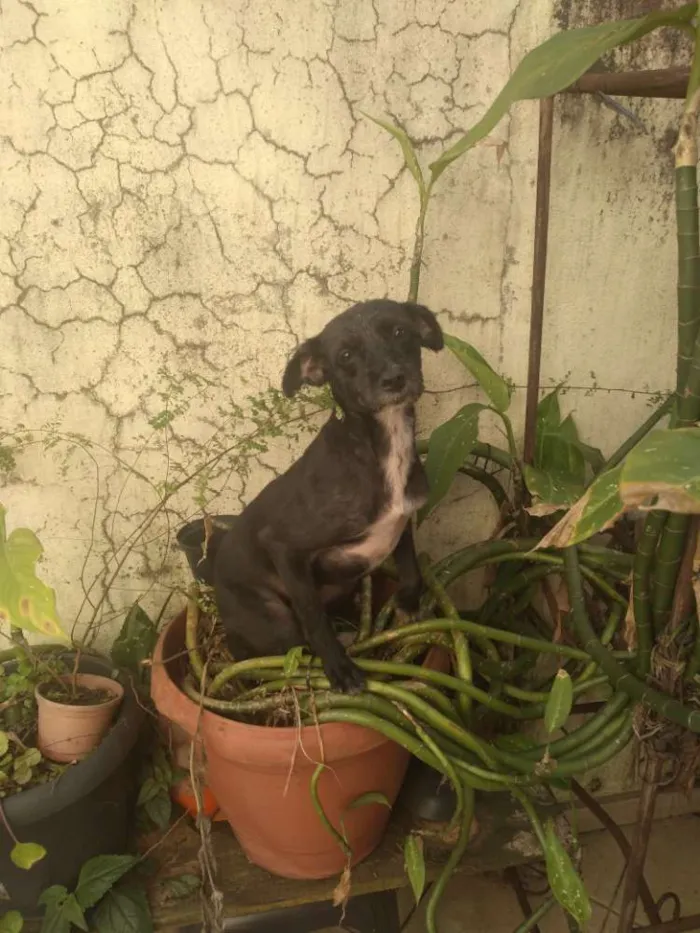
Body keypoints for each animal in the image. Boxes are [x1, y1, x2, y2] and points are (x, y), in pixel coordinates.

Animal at [212, 298, 442, 692]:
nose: (394, 379)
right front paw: (340, 668)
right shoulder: (283, 546)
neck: (379, 446)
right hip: (273, 617)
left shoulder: (400, 522)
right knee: (285, 645)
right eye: (345, 355)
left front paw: (408, 604)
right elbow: (313, 618)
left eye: (400, 331)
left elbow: (411, 569)